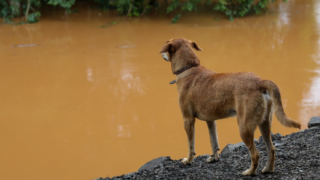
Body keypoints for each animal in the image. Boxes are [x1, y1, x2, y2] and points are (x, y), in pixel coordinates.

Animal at [159, 38, 302, 176]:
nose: (161, 54)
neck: (189, 68)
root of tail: (260, 82)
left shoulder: (188, 119)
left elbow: (190, 144)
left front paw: (188, 160)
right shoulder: (210, 120)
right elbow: (214, 141)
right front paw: (214, 158)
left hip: (244, 126)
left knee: (255, 154)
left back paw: (249, 172)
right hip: (265, 123)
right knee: (271, 149)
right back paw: (268, 169)